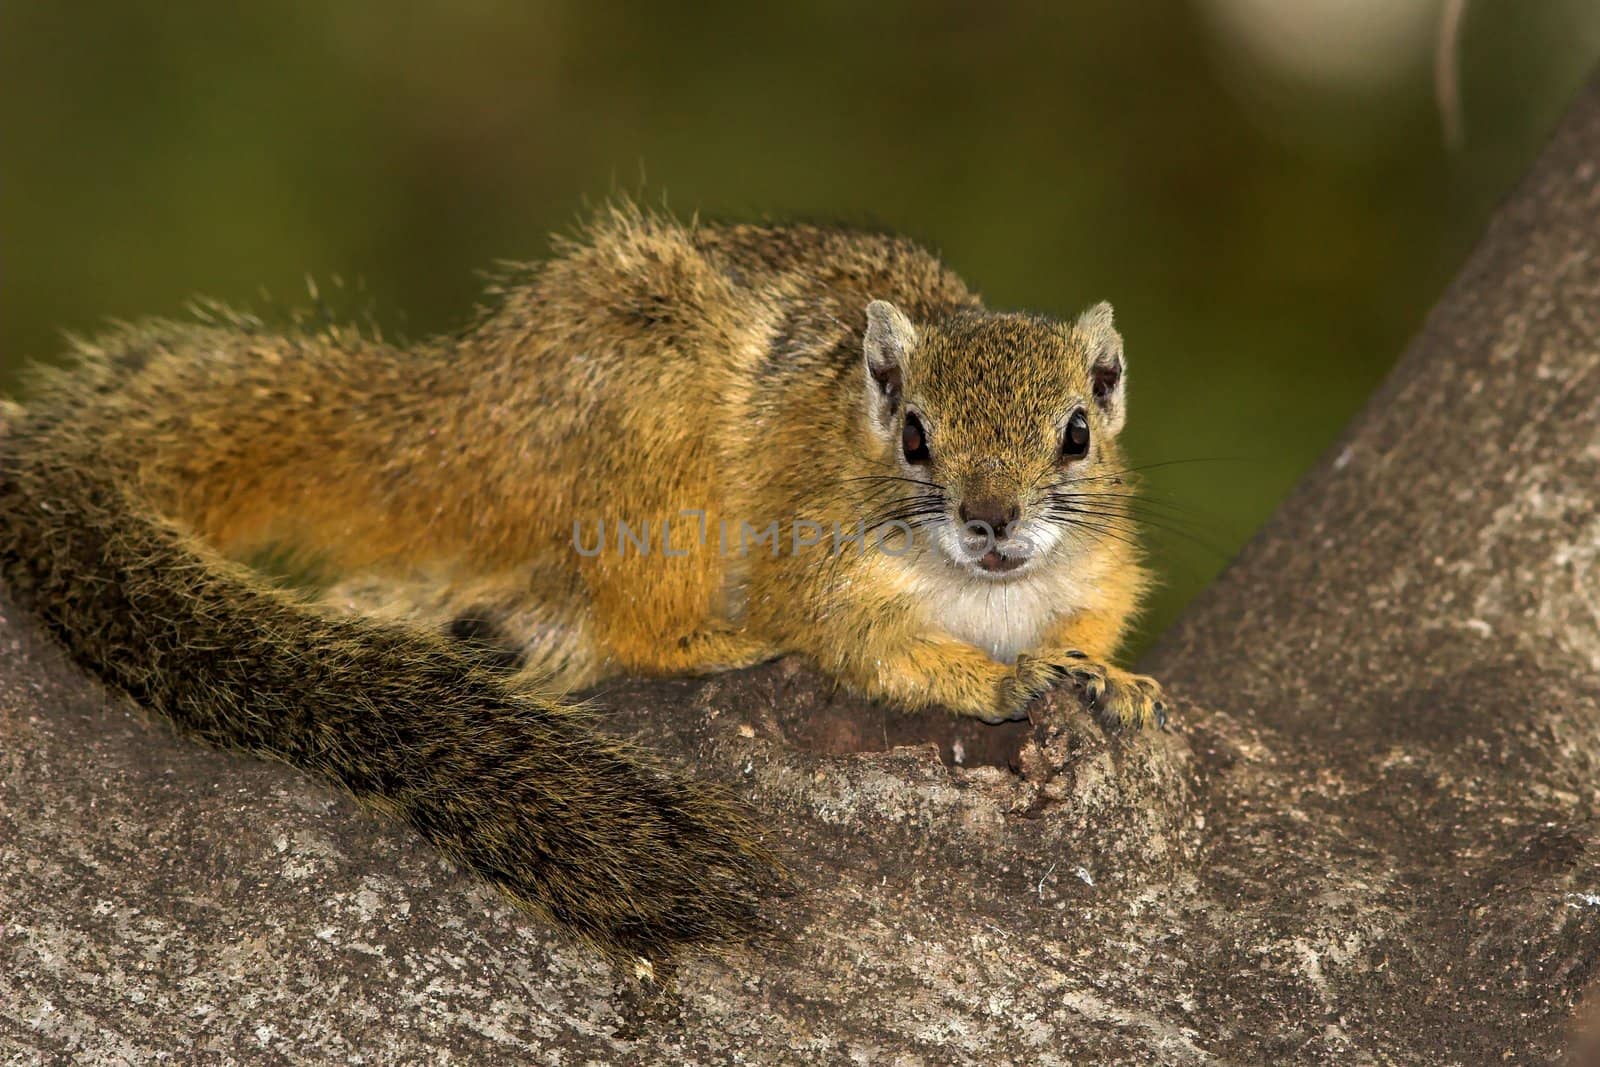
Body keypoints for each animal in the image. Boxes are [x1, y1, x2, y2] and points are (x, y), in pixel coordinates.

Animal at [0, 206, 1164, 966]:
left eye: (1077, 431)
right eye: (915, 436)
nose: (991, 519)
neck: (984, 594)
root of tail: (470, 417)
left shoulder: (1100, 569)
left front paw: (1109, 678)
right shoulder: (820, 563)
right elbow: (860, 648)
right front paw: (990, 681)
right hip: (649, 448)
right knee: (628, 616)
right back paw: (700, 641)